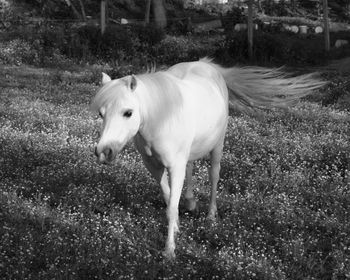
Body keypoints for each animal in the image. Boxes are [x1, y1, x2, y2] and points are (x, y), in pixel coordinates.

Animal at [91, 58, 326, 260]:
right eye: (101, 114)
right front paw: (177, 226)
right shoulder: (153, 166)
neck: (161, 117)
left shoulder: (174, 165)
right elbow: (168, 197)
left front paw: (169, 250)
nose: (104, 151)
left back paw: (211, 215)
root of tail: (209, 66)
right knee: (191, 168)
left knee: (214, 176)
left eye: (128, 112)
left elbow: (171, 206)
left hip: (217, 146)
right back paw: (190, 201)